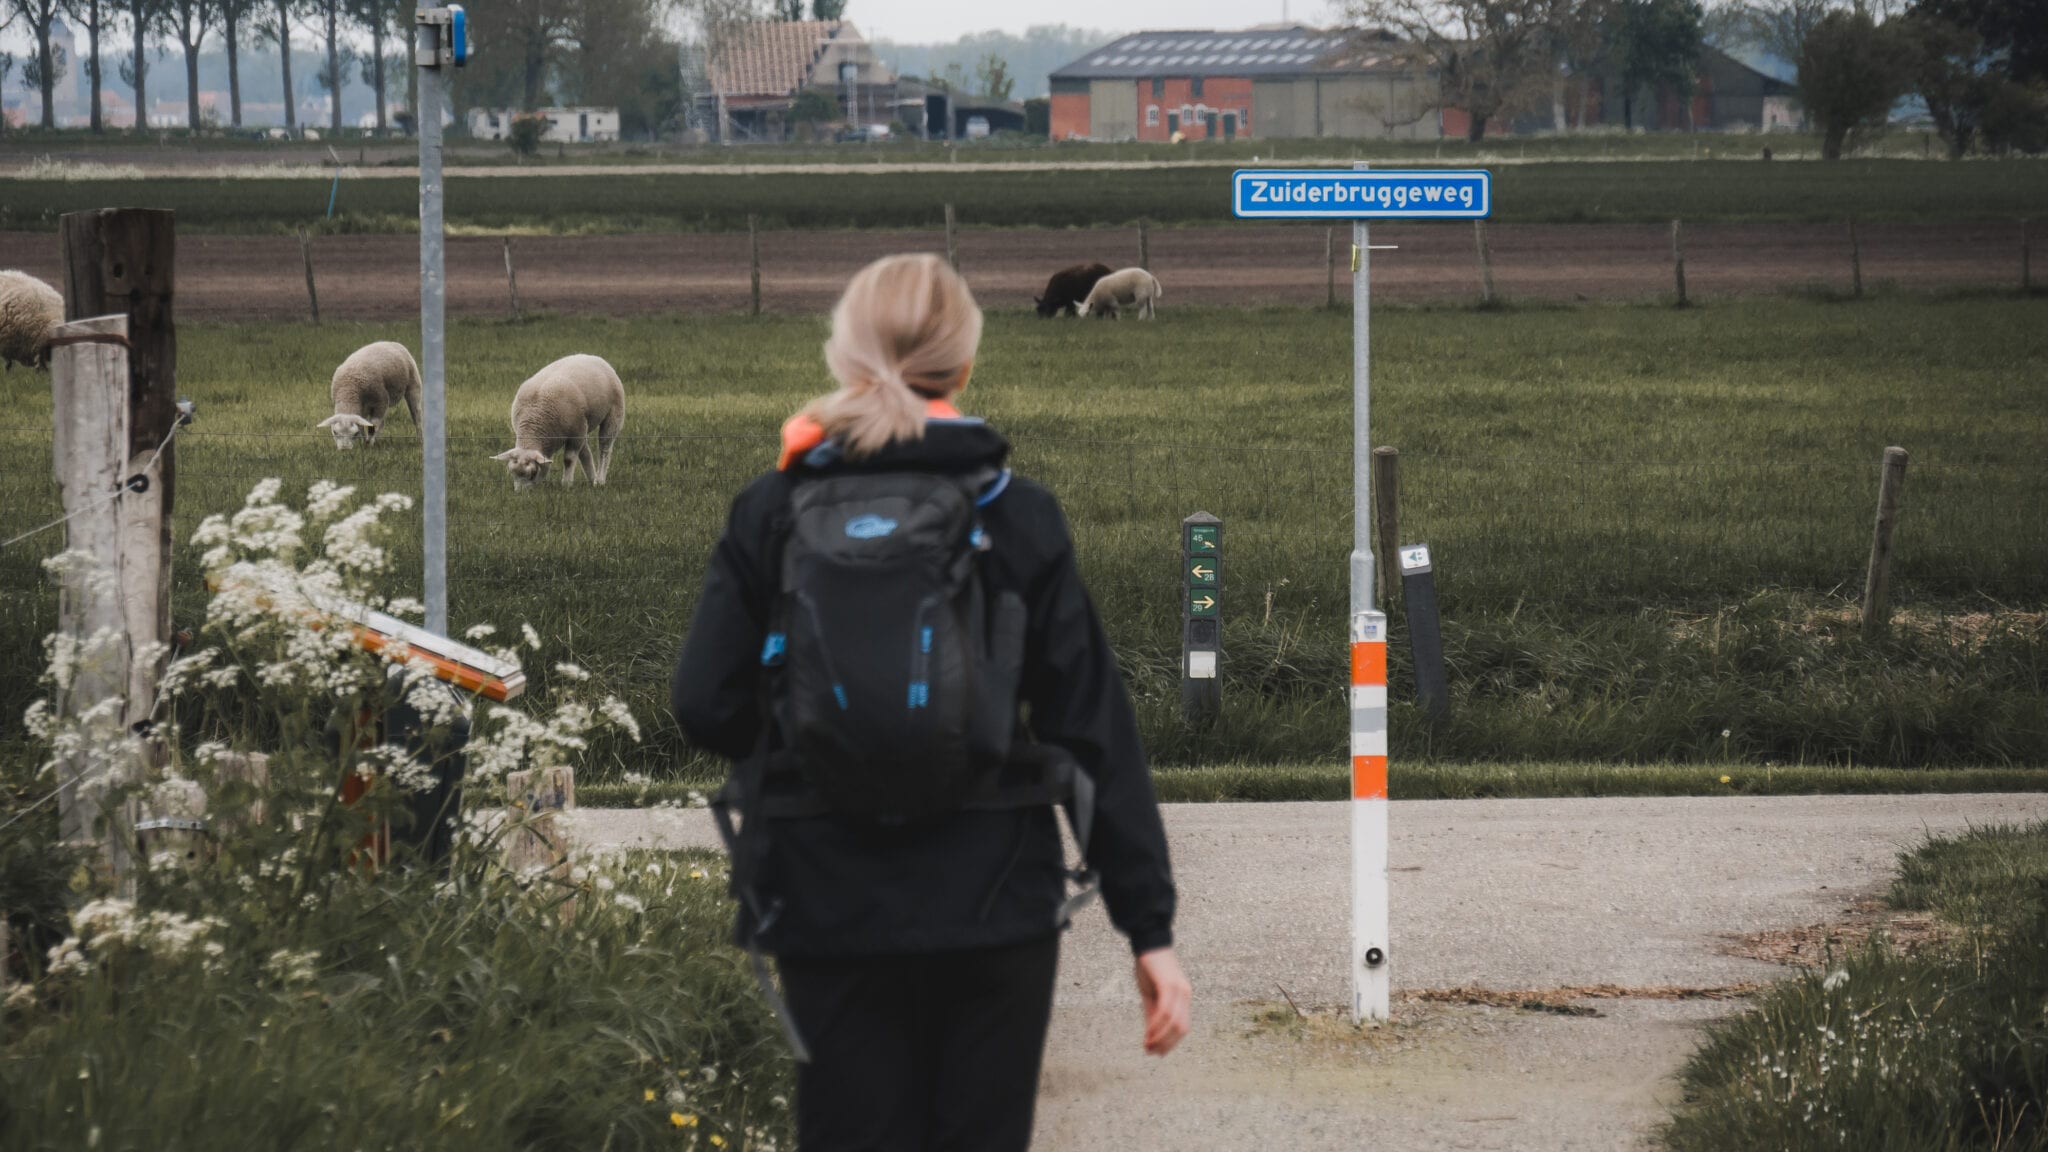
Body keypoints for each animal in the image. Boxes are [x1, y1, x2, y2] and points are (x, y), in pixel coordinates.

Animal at [489, 354, 622, 487]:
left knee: (605, 448)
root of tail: (590, 356)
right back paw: (592, 480)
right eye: (512, 474)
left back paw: (600, 480)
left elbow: (568, 460)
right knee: (586, 452)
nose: (520, 492)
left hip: (614, 412)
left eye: (532, 474)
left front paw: (566, 484)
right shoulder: (577, 432)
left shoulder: (576, 431)